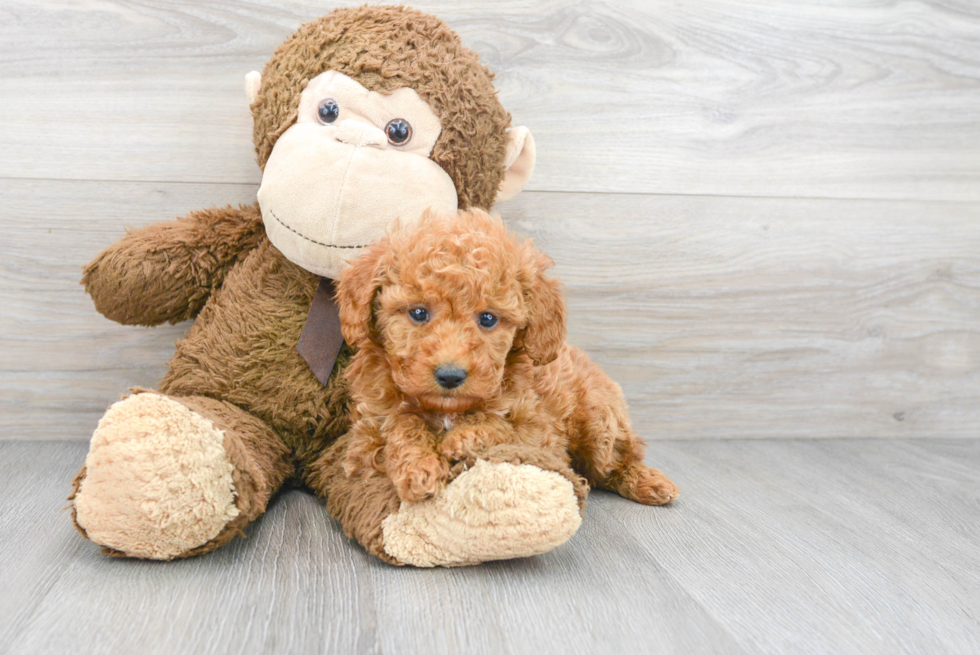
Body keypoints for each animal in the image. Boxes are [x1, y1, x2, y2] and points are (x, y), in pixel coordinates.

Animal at [334, 210, 676, 508]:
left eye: (488, 319)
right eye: (418, 313)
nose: (450, 376)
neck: (447, 410)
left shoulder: (540, 437)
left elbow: (501, 427)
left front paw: (461, 439)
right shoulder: (364, 443)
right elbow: (401, 424)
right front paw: (420, 469)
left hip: (600, 421)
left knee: (616, 461)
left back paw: (651, 483)